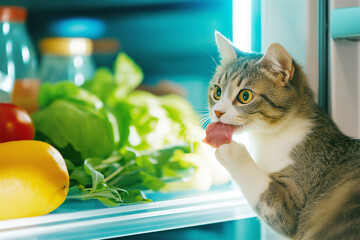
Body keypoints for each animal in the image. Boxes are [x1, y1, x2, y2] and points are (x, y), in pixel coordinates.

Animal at [208, 31, 360, 239]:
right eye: (217, 92)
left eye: (245, 96)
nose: (217, 112)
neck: (269, 137)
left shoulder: (290, 206)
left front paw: (230, 150)